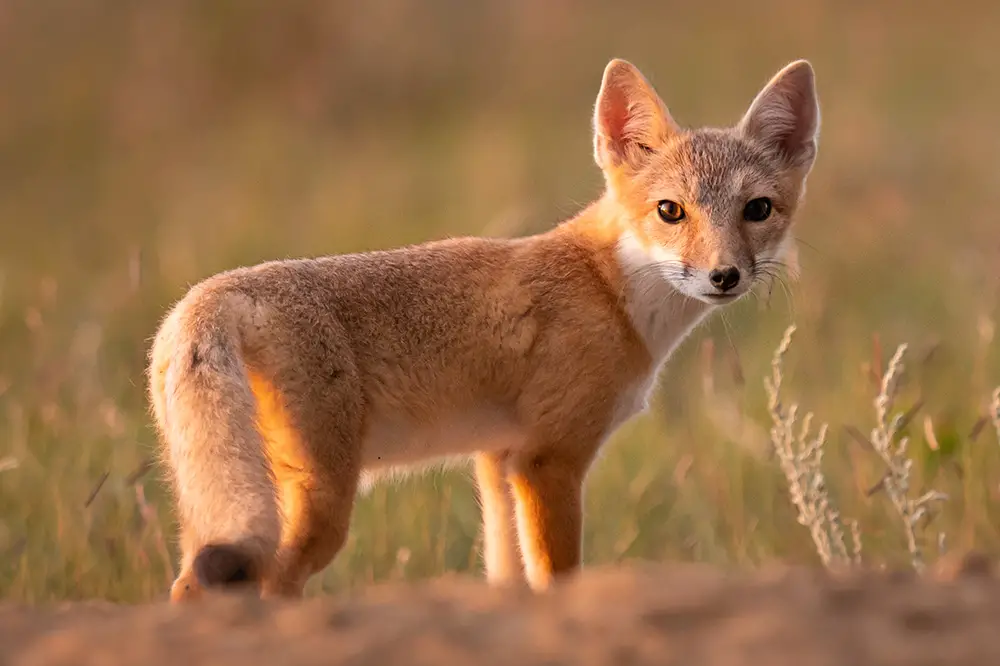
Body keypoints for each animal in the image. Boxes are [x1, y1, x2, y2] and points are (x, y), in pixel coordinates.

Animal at [148, 55, 820, 596]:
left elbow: (506, 580)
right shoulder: (548, 461)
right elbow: (557, 581)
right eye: (670, 211)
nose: (724, 275)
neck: (609, 290)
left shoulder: (498, 462)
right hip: (322, 507)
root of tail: (215, 290)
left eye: (757, 210)